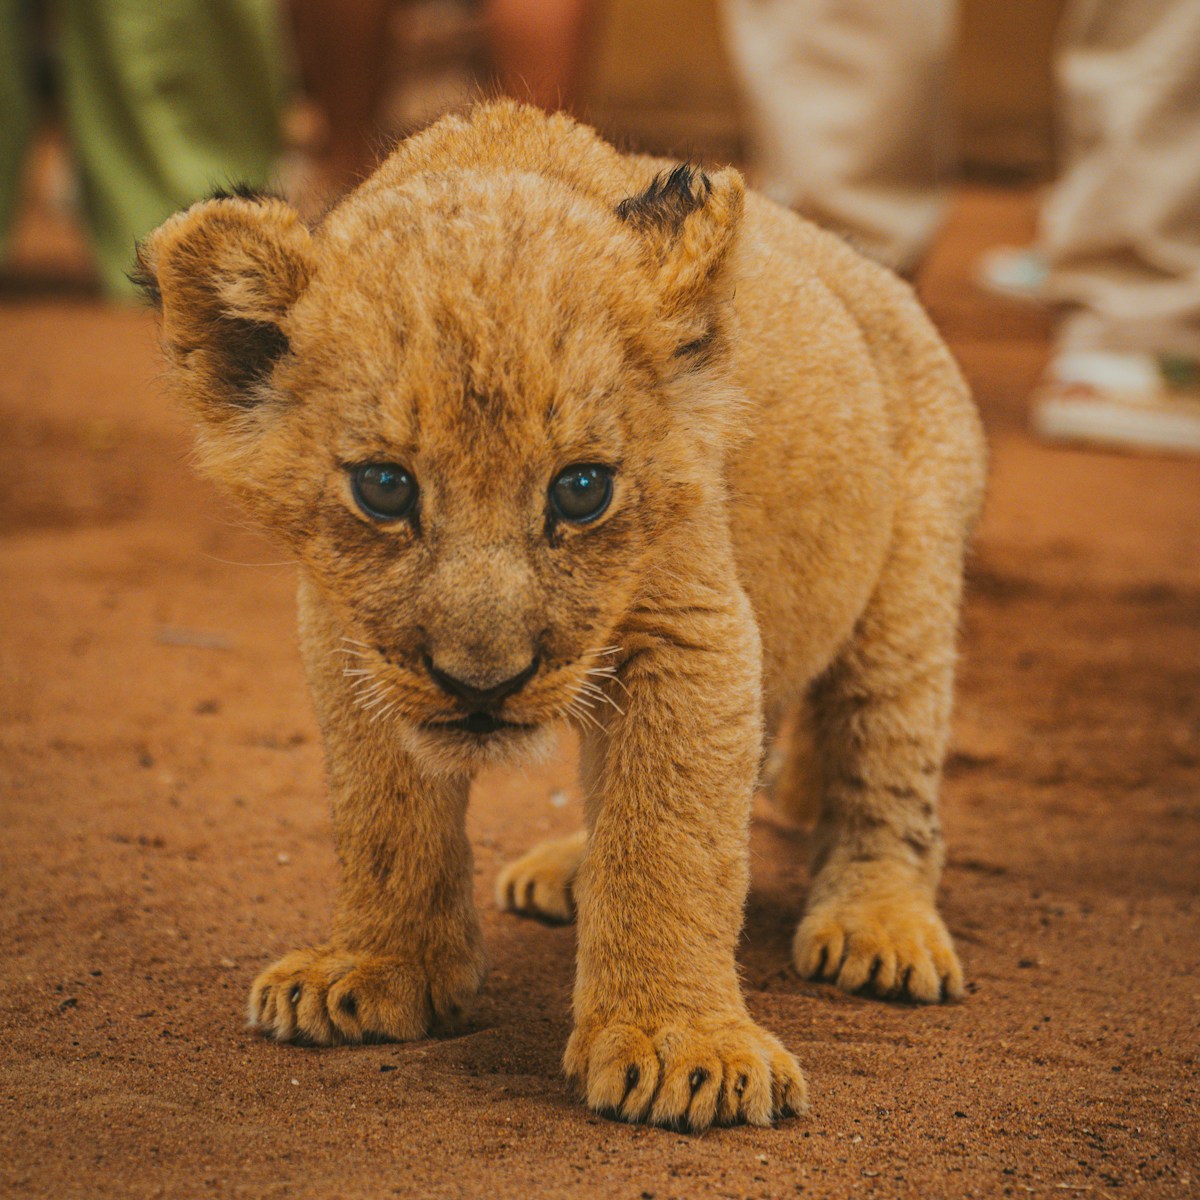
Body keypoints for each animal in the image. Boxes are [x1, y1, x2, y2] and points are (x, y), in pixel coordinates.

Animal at [137, 101, 986, 1131]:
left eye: (581, 490)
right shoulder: (351, 636)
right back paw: (572, 870)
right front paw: (376, 970)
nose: (481, 683)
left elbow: (671, 837)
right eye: (385, 487)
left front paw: (679, 1046)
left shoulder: (694, 627)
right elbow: (382, 814)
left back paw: (880, 926)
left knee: (886, 767)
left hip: (908, 592)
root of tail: (876, 273)